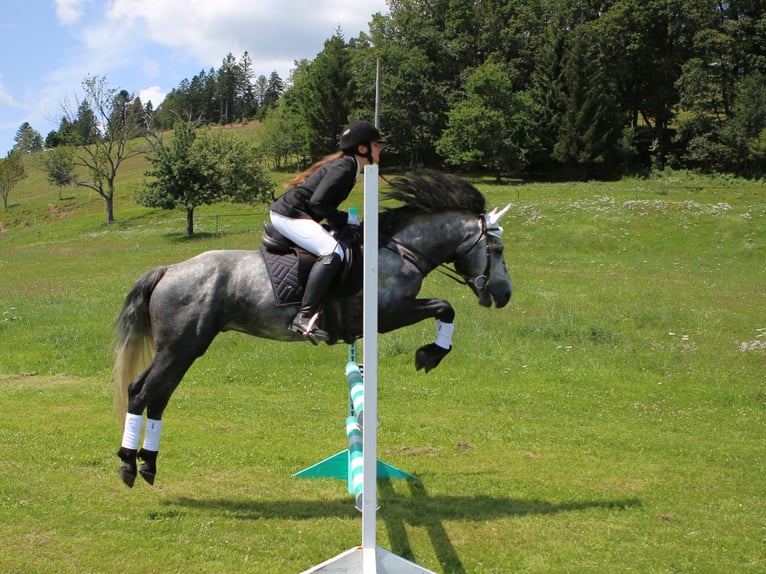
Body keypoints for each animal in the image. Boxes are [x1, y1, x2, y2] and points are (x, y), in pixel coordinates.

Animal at [114, 172, 512, 490]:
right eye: (497, 248)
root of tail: (167, 269)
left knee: (157, 396)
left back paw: (148, 463)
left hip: (183, 348)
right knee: (142, 392)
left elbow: (445, 307)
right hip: (180, 346)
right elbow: (445, 306)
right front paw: (430, 354)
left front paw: (430, 353)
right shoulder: (387, 314)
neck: (399, 250)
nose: (505, 295)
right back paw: (128, 463)